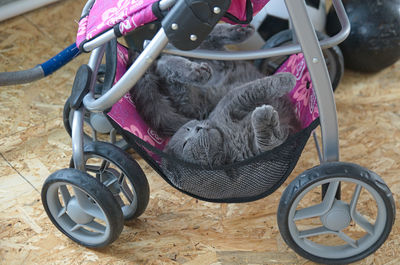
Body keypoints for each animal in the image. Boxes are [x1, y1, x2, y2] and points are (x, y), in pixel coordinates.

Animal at [163, 72, 300, 166]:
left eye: (189, 128)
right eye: (185, 144)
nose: (198, 128)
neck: (226, 137)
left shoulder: (231, 102)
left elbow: (252, 90)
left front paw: (287, 79)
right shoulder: (255, 155)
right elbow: (267, 143)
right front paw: (263, 116)